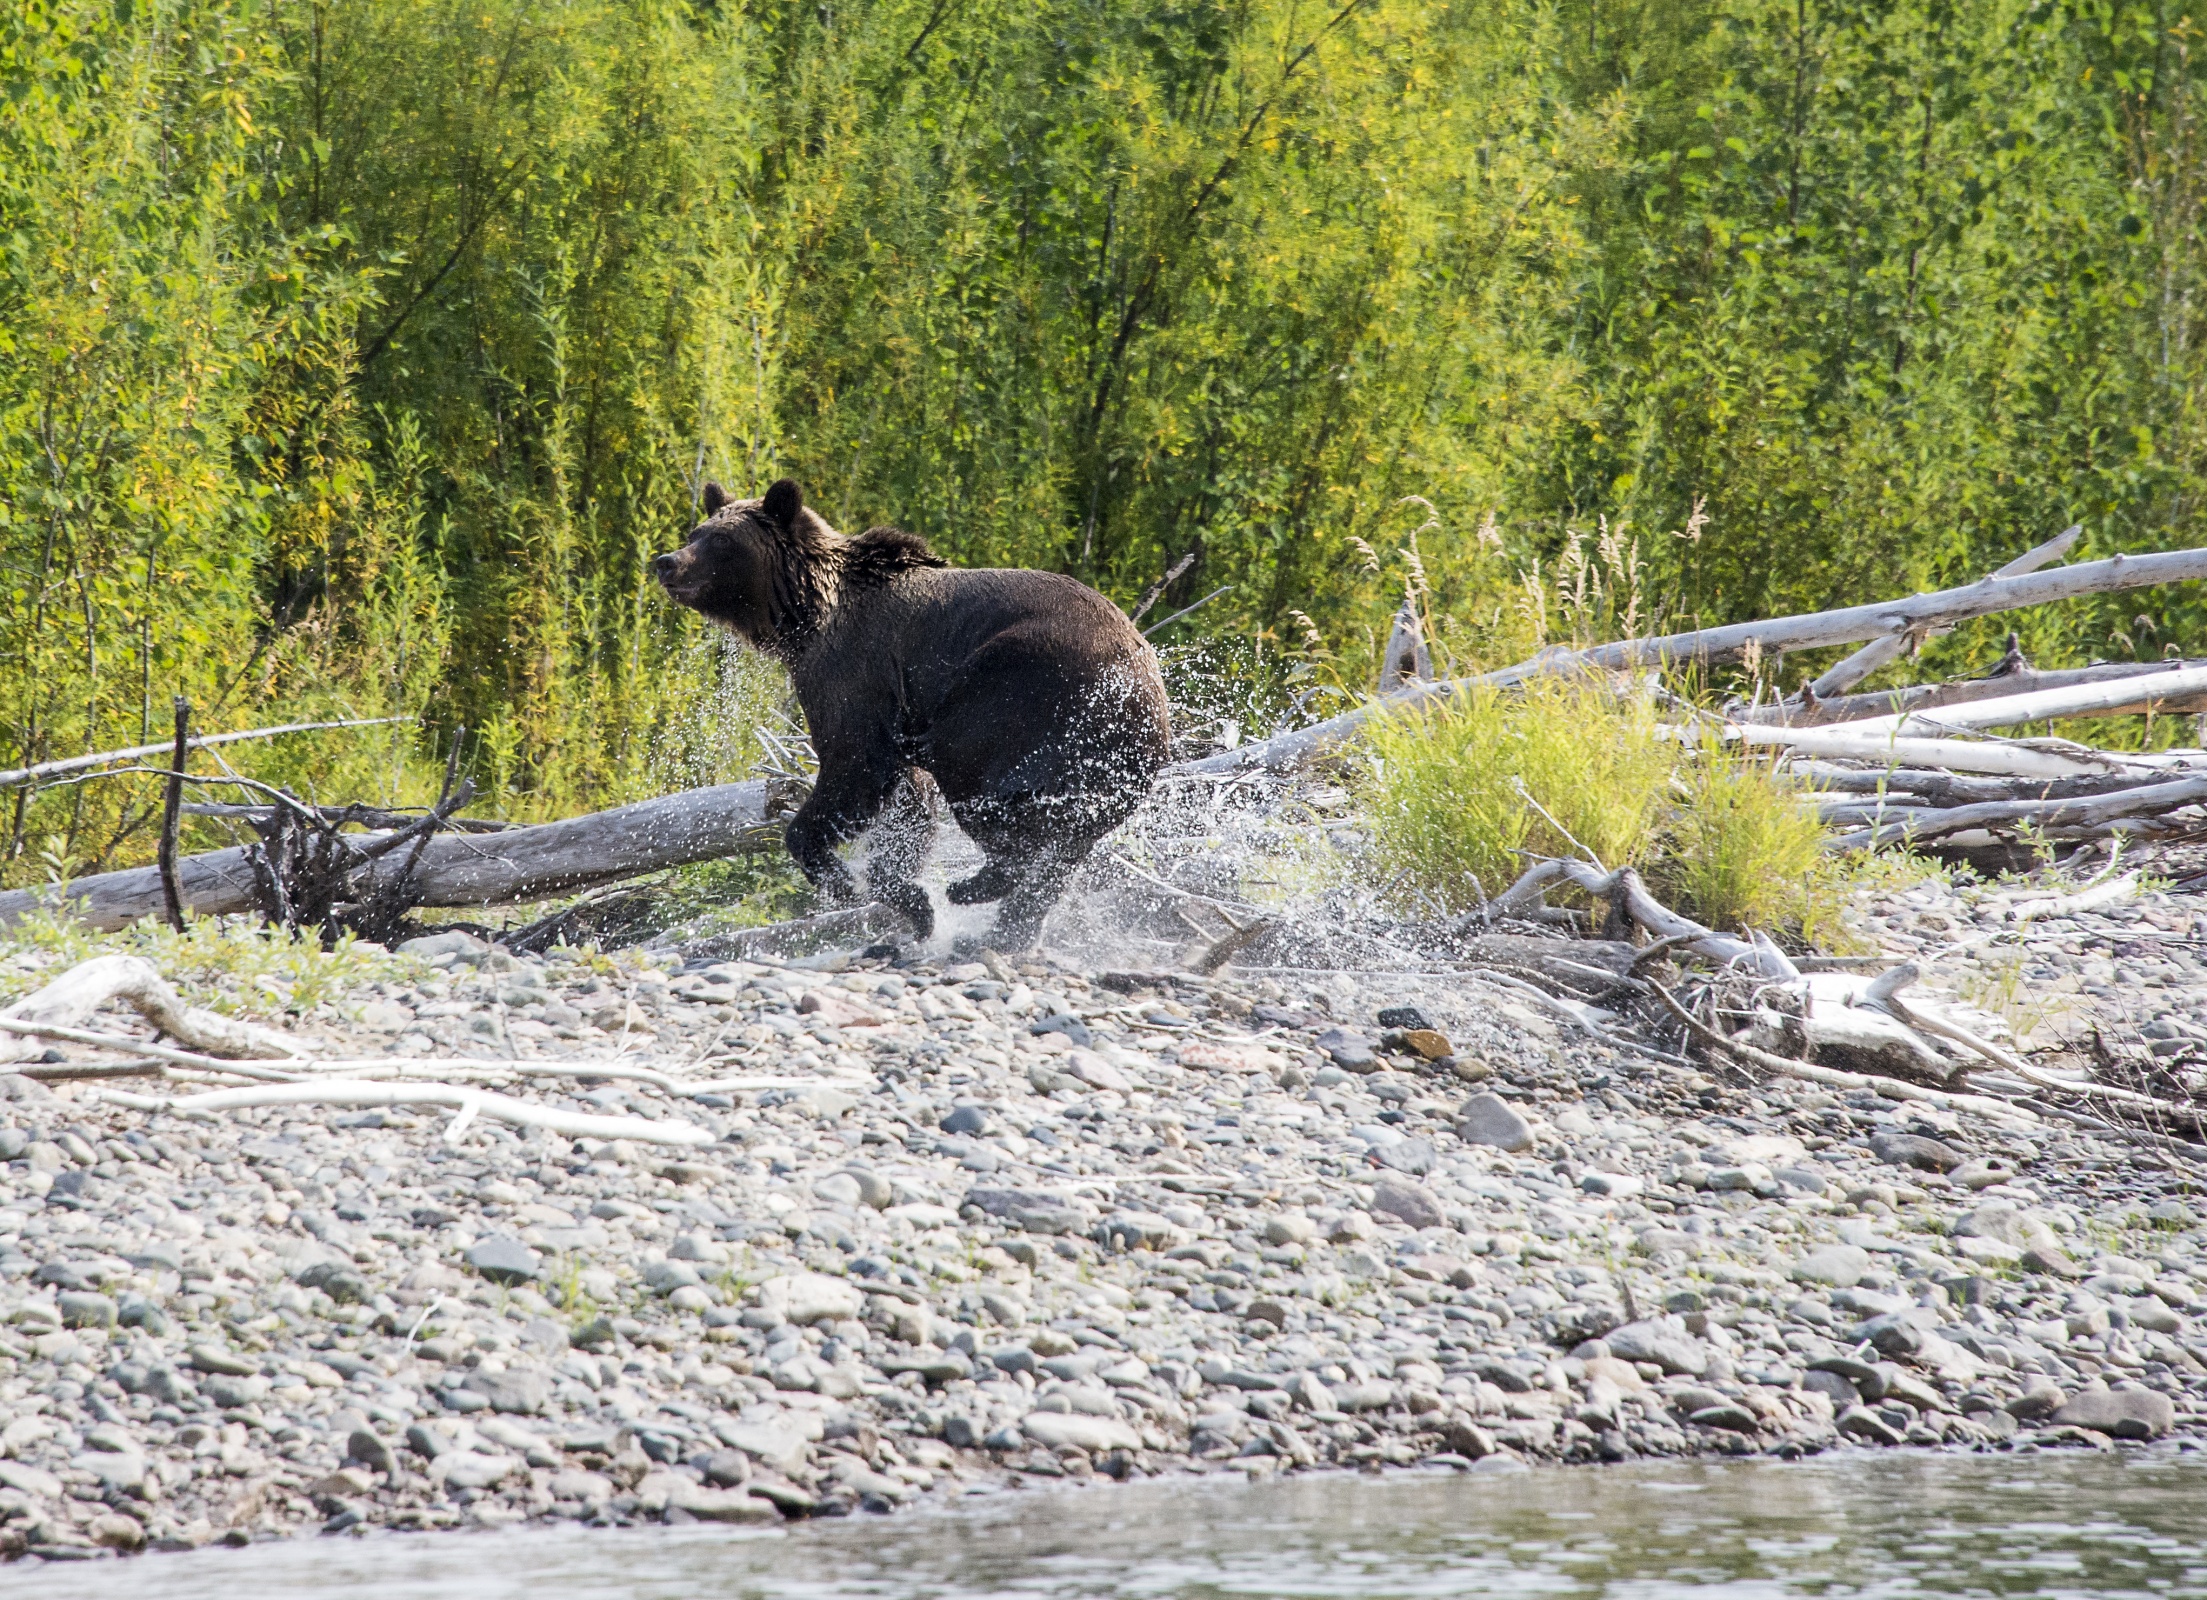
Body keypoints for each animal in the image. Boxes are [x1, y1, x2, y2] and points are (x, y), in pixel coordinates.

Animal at [648, 474, 1174, 948]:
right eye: (695, 532)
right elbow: (907, 805)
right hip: (1102, 761)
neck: (804, 617)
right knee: (1064, 841)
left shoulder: (854, 673)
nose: (666, 562)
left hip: (1019, 689)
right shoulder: (895, 707)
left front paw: (843, 880)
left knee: (985, 789)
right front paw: (913, 904)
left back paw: (974, 887)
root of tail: (1147, 689)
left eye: (720, 540)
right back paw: (1003, 929)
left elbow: (853, 764)